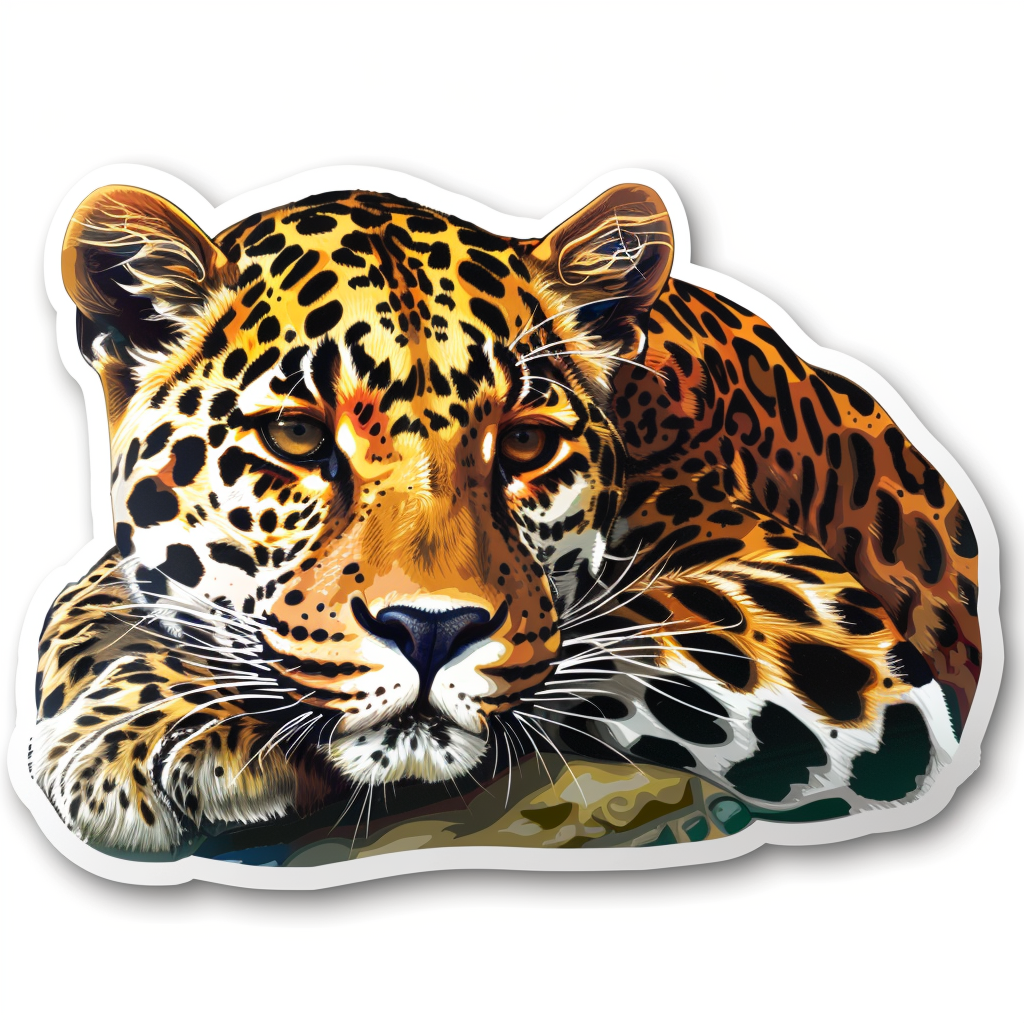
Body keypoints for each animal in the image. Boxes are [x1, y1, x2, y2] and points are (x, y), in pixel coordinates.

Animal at [31, 181, 981, 853]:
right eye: (297, 435)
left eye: (524, 442)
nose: (430, 631)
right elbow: (85, 597)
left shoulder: (816, 619)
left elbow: (600, 631)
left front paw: (163, 724)